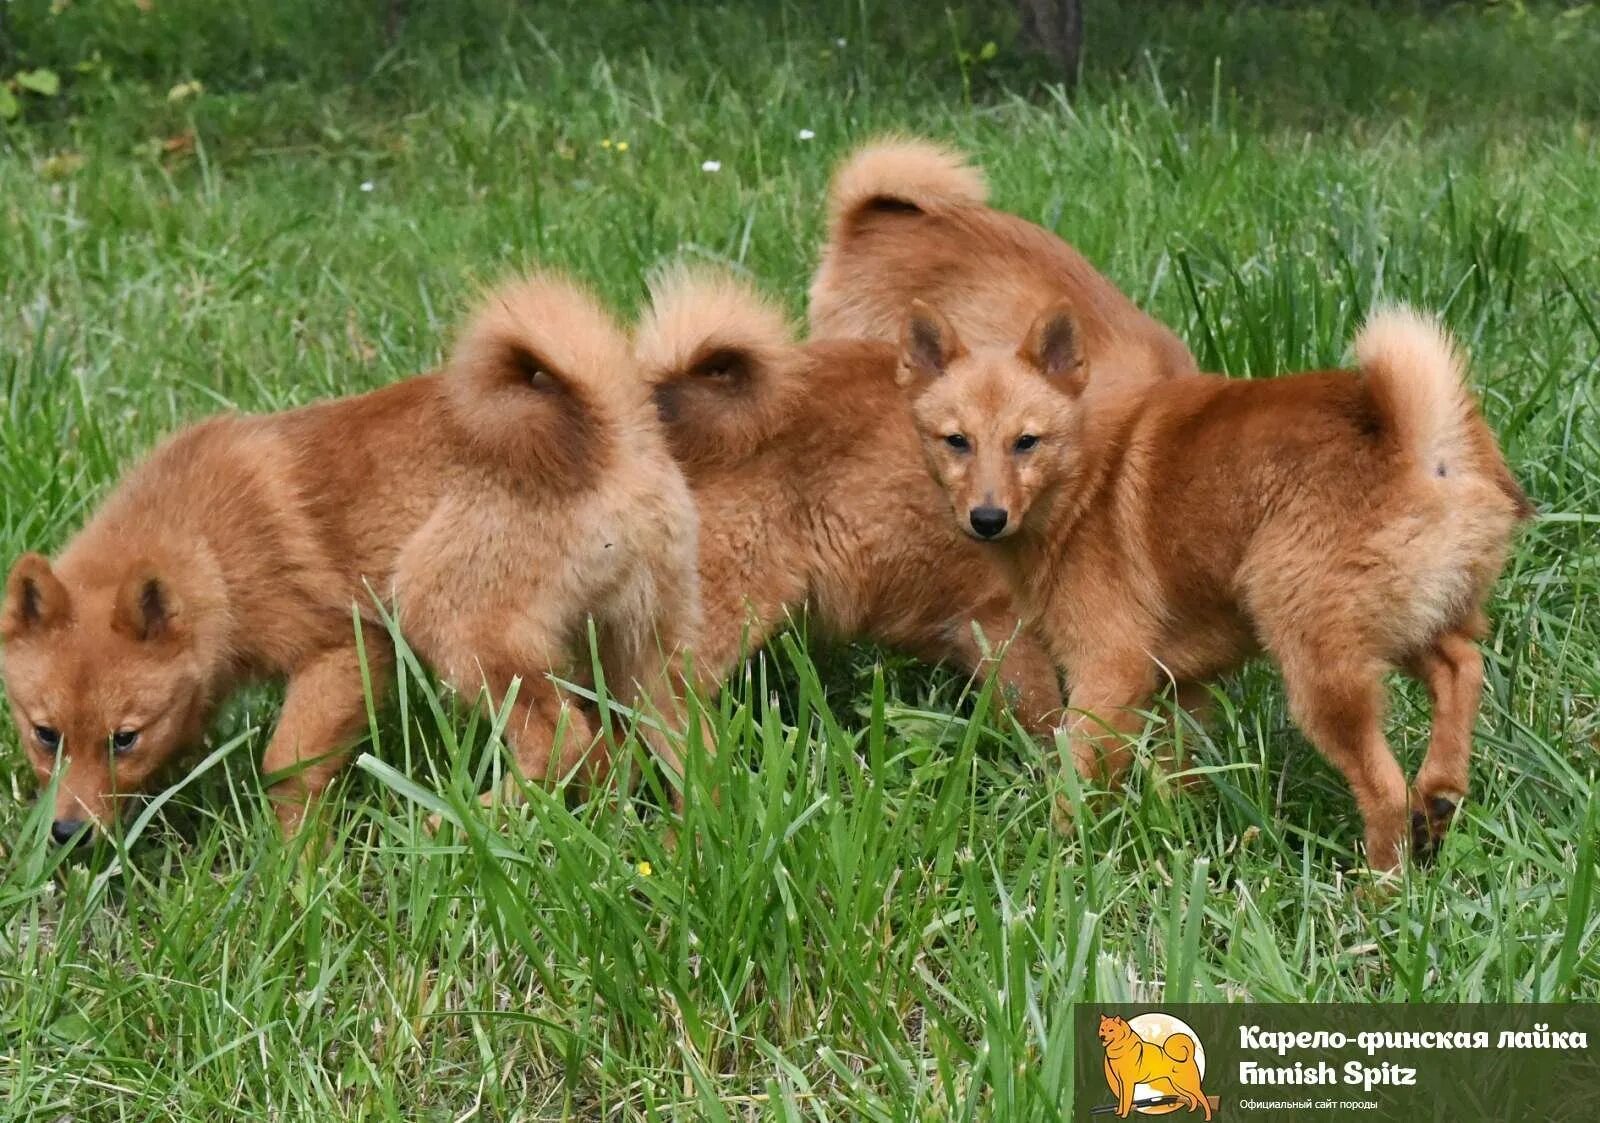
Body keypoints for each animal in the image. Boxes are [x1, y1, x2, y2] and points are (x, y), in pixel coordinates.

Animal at [1, 276, 700, 851]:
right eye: (46, 735)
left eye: (125, 738)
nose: (67, 834)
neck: (208, 546)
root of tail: (609, 430)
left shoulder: (346, 647)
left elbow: (286, 766)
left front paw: (297, 861)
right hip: (644, 660)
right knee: (664, 754)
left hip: (449, 618)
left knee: (565, 745)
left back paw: (447, 826)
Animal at [908, 300, 1529, 870]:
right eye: (956, 441)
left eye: (1027, 442)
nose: (987, 518)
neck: (1083, 476)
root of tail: (1422, 445)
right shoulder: (1183, 687)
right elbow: (1175, 776)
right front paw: (1174, 837)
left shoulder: (1109, 671)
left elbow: (1079, 776)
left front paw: (1060, 858)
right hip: (1397, 625)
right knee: (1460, 666)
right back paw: (1440, 791)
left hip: (1318, 665)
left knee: (1386, 790)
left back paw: (1379, 892)